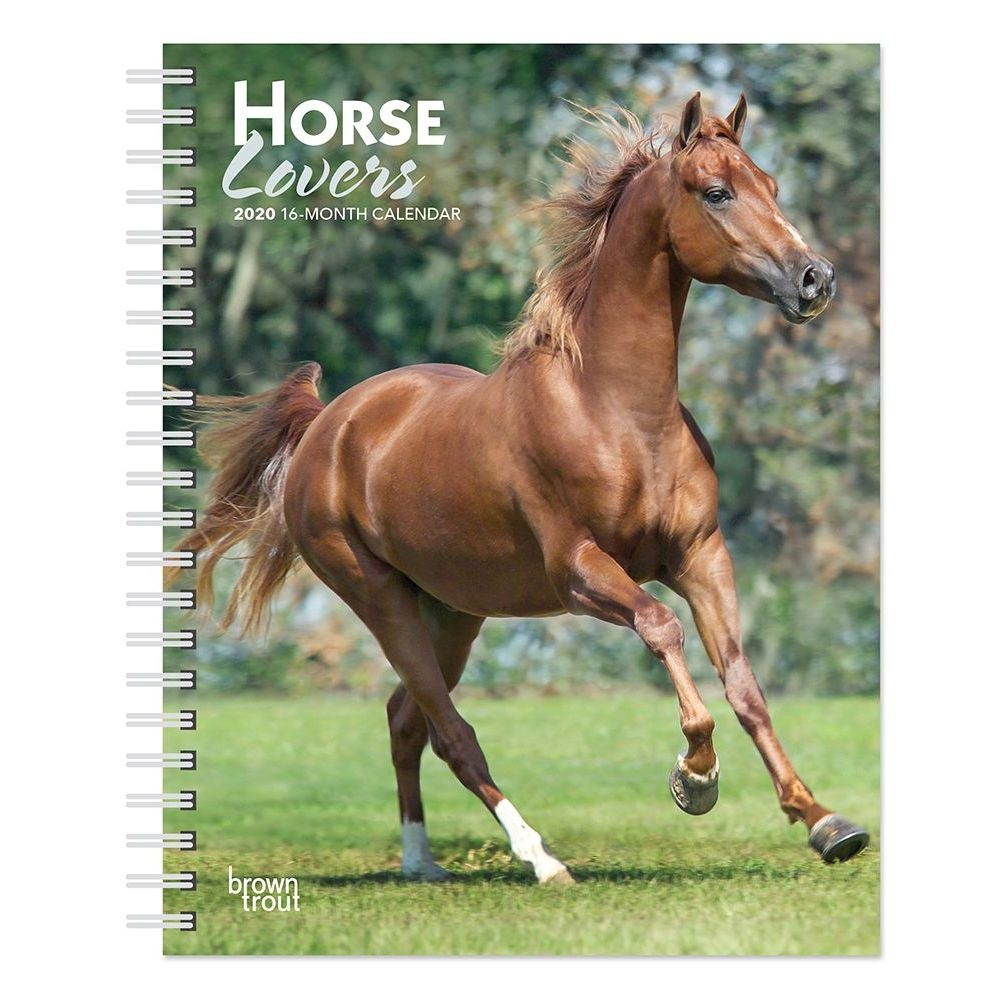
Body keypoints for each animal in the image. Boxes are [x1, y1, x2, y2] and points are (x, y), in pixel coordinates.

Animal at [174, 93, 869, 885]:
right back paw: (541, 860)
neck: (616, 411)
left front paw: (824, 822)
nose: (815, 279)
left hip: (452, 611)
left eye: (772, 185)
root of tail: (327, 425)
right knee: (451, 732)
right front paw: (695, 778)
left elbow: (746, 686)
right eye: (716, 192)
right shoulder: (579, 571)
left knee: (405, 720)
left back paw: (421, 861)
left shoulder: (701, 556)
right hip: (380, 600)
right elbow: (663, 628)